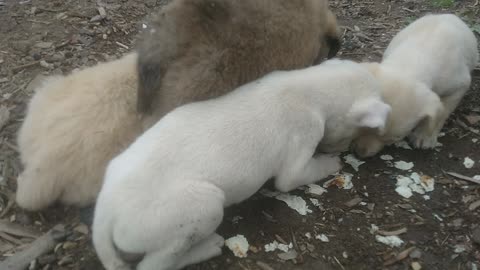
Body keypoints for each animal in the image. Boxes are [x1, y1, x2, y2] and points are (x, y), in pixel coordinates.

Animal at [92, 59, 392, 270]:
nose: (344, 149)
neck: (313, 86)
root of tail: (105, 212)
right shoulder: (297, 158)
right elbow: (300, 175)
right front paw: (332, 163)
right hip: (201, 207)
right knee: (154, 264)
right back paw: (209, 247)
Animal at [350, 14, 478, 158]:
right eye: (361, 127)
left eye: (392, 139)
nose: (360, 152)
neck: (412, 61)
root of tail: (448, 14)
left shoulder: (459, 85)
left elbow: (442, 113)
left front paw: (425, 136)